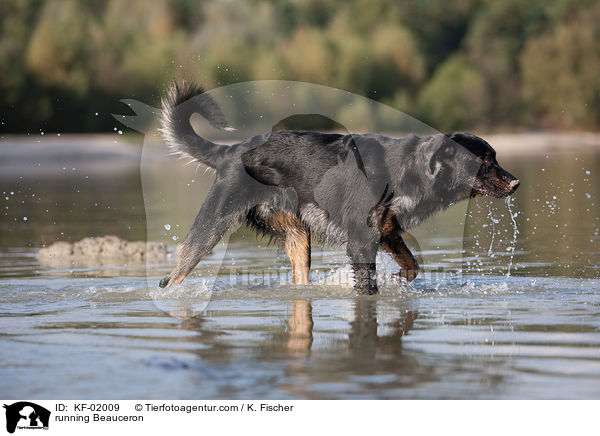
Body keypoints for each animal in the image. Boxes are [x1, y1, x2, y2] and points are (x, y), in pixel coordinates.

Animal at [157, 82, 516, 292]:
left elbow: (412, 266)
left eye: (496, 157)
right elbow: (368, 287)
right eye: (484, 161)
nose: (516, 183)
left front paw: (399, 281)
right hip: (211, 227)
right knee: (171, 278)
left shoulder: (387, 233)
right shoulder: (361, 241)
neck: (410, 170)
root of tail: (230, 151)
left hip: (298, 239)